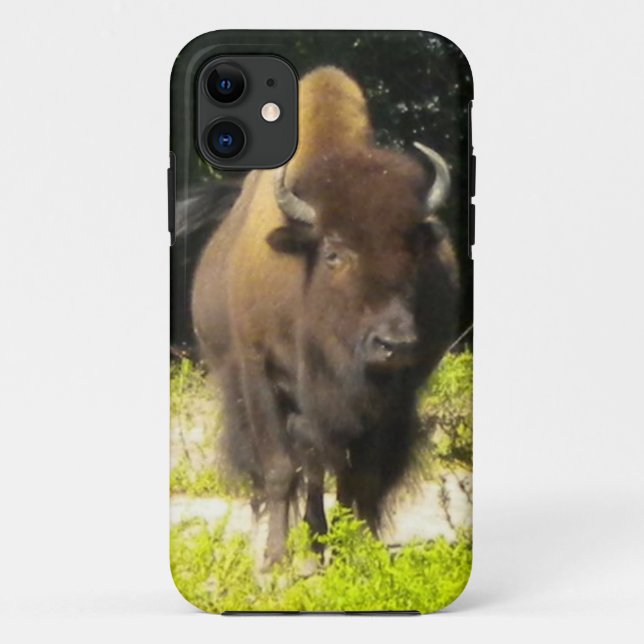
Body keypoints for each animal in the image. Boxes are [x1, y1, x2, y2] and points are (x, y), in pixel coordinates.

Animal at [192, 66, 460, 566]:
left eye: (414, 249)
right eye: (334, 253)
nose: (394, 344)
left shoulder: (389, 397)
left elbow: (363, 476)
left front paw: (364, 551)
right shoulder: (260, 376)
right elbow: (280, 468)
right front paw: (275, 562)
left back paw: (320, 541)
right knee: (306, 467)